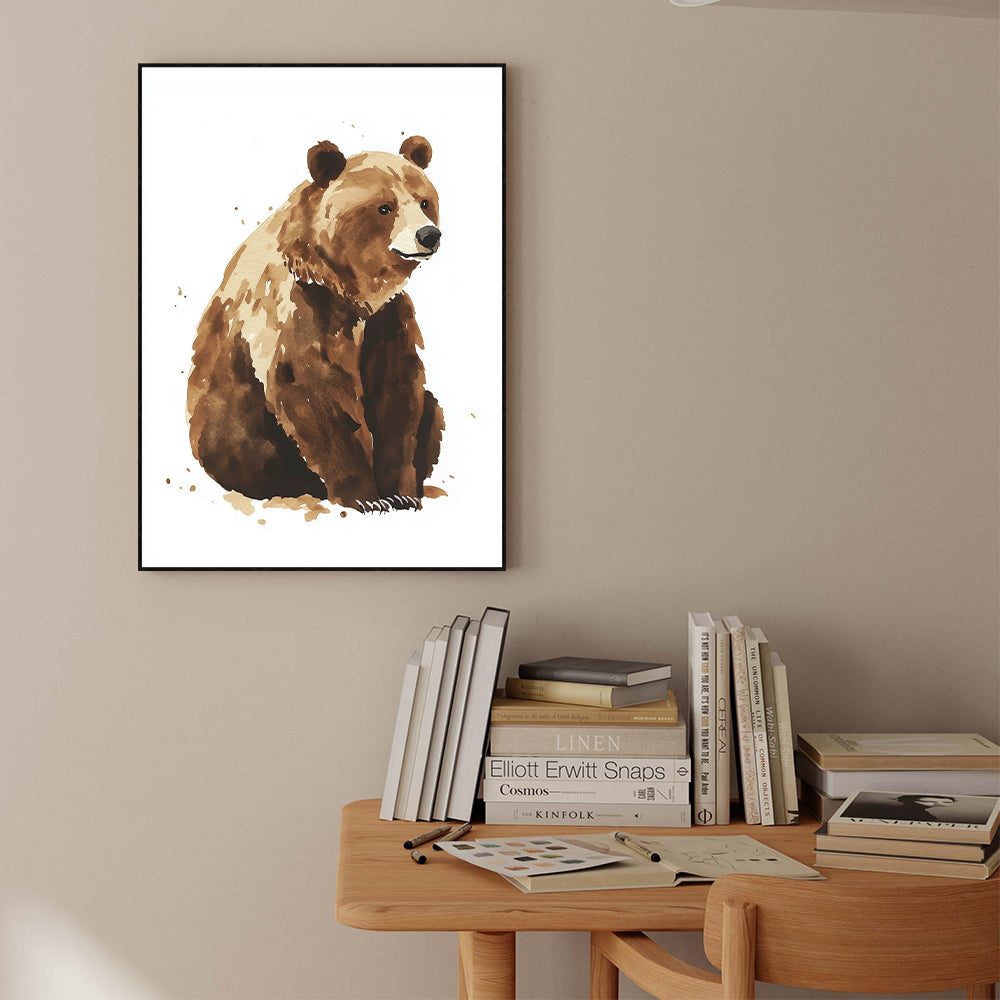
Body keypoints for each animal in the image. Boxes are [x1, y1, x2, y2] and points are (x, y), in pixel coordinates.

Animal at [187, 135, 445, 513]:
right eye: (385, 207)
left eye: (425, 201)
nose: (429, 235)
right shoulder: (295, 309)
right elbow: (312, 392)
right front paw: (363, 498)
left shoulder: (385, 321)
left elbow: (398, 393)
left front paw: (402, 493)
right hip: (233, 430)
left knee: (432, 407)